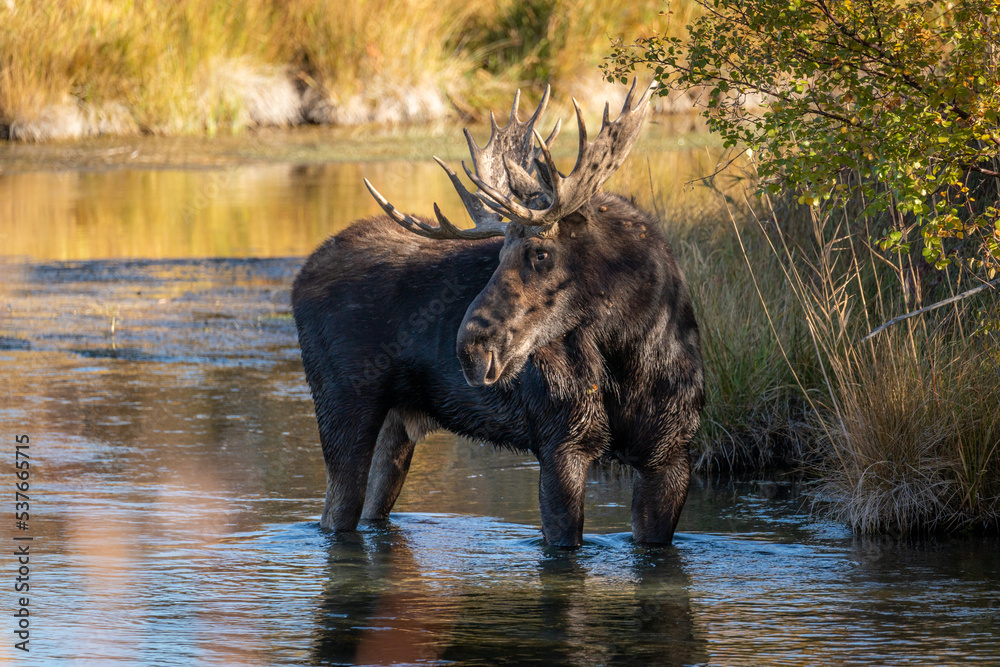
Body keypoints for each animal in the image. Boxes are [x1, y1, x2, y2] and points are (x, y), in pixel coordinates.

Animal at [292, 80, 703, 547]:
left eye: (540, 252)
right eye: (499, 253)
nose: (470, 349)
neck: (633, 358)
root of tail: (302, 274)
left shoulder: (671, 454)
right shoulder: (561, 442)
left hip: (396, 424)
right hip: (342, 402)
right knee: (334, 515)